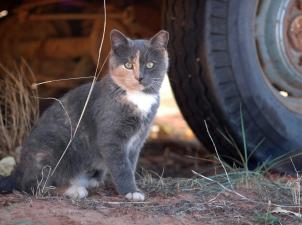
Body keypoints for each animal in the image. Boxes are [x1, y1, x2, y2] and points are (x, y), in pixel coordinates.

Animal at [0, 29, 170, 200]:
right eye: (128, 65)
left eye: (150, 65)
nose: (139, 77)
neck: (137, 97)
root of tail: (19, 168)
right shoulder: (111, 137)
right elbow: (122, 166)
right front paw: (131, 191)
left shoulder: (137, 140)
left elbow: (131, 163)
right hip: (53, 148)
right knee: (33, 185)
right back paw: (72, 190)